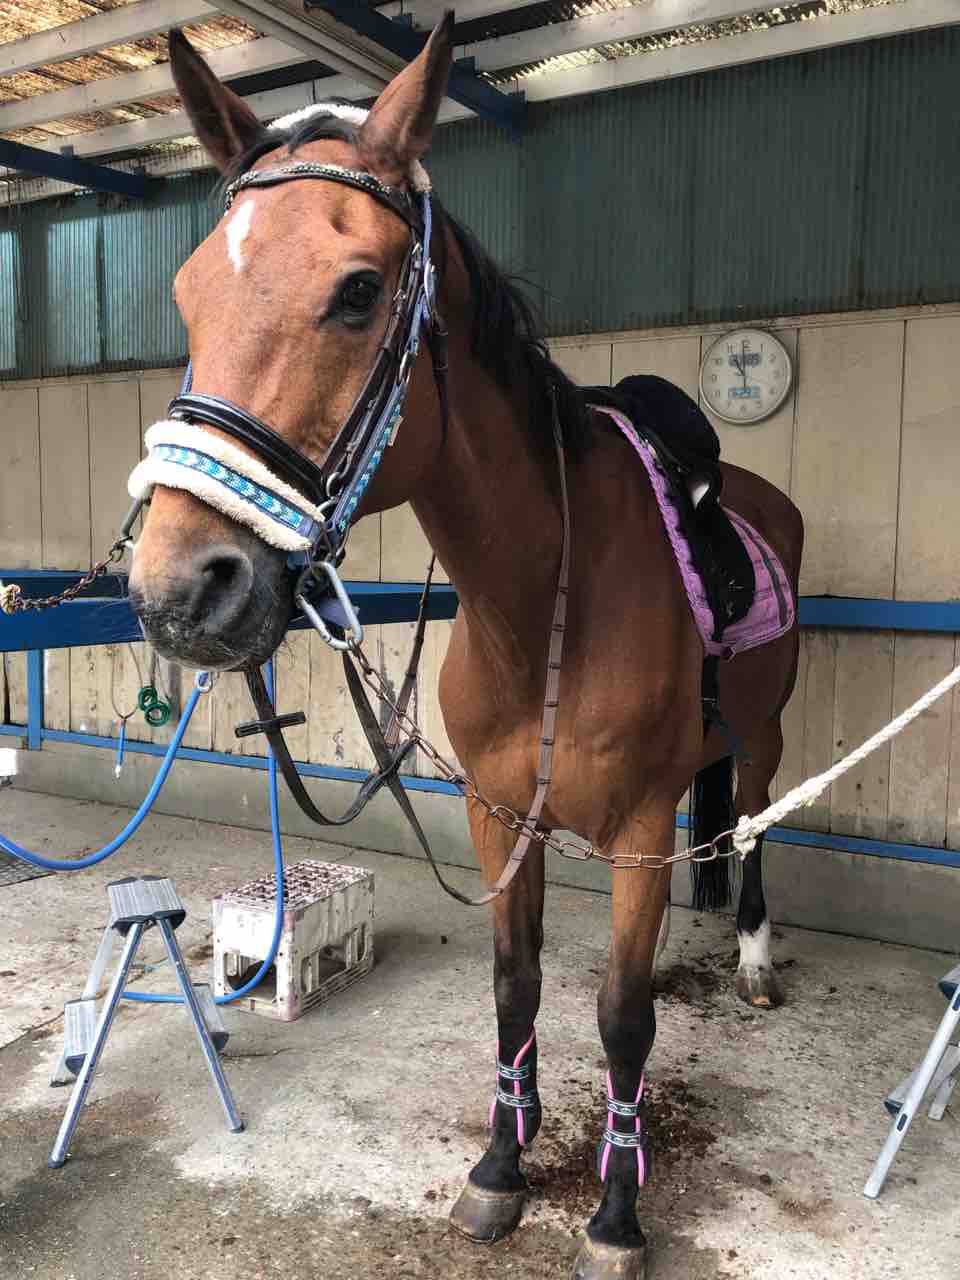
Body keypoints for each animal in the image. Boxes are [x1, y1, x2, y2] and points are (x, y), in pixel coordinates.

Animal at [128, 19, 803, 1278]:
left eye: (358, 290)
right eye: (191, 294)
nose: (180, 590)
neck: (542, 599)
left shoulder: (640, 831)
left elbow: (621, 1015)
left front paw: (615, 1208)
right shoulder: (501, 816)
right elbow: (514, 983)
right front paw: (503, 1159)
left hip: (768, 729)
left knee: (756, 814)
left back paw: (751, 957)